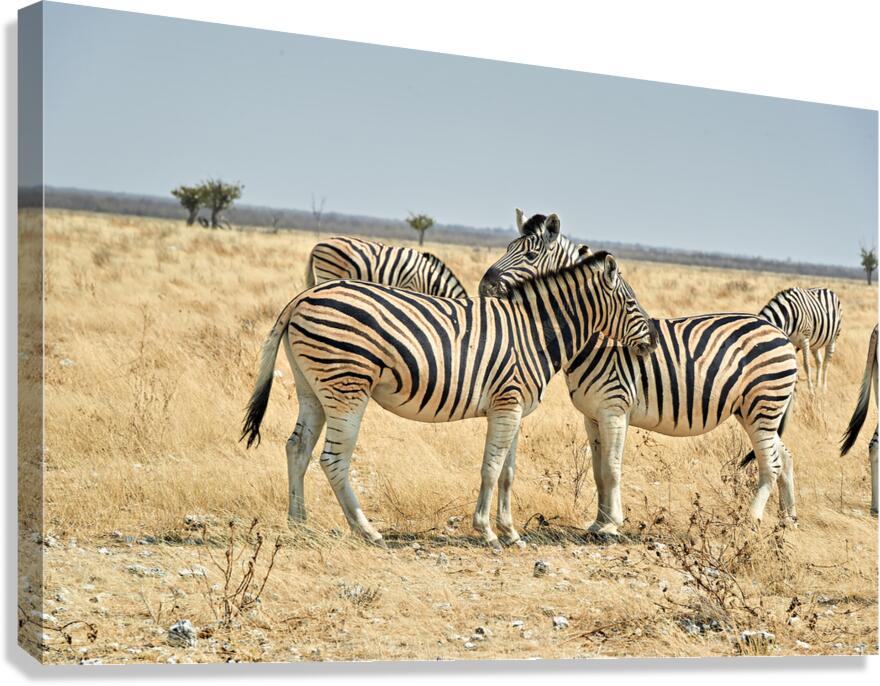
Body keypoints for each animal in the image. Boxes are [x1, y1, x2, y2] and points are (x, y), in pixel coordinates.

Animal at [479, 218, 799, 535]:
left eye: (530, 255)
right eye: (507, 247)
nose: (484, 286)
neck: (596, 340)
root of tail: (776, 330)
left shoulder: (614, 410)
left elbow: (611, 468)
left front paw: (611, 525)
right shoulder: (591, 416)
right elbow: (597, 471)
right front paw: (598, 522)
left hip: (763, 405)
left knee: (770, 463)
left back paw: (751, 521)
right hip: (752, 410)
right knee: (784, 456)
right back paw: (787, 520)